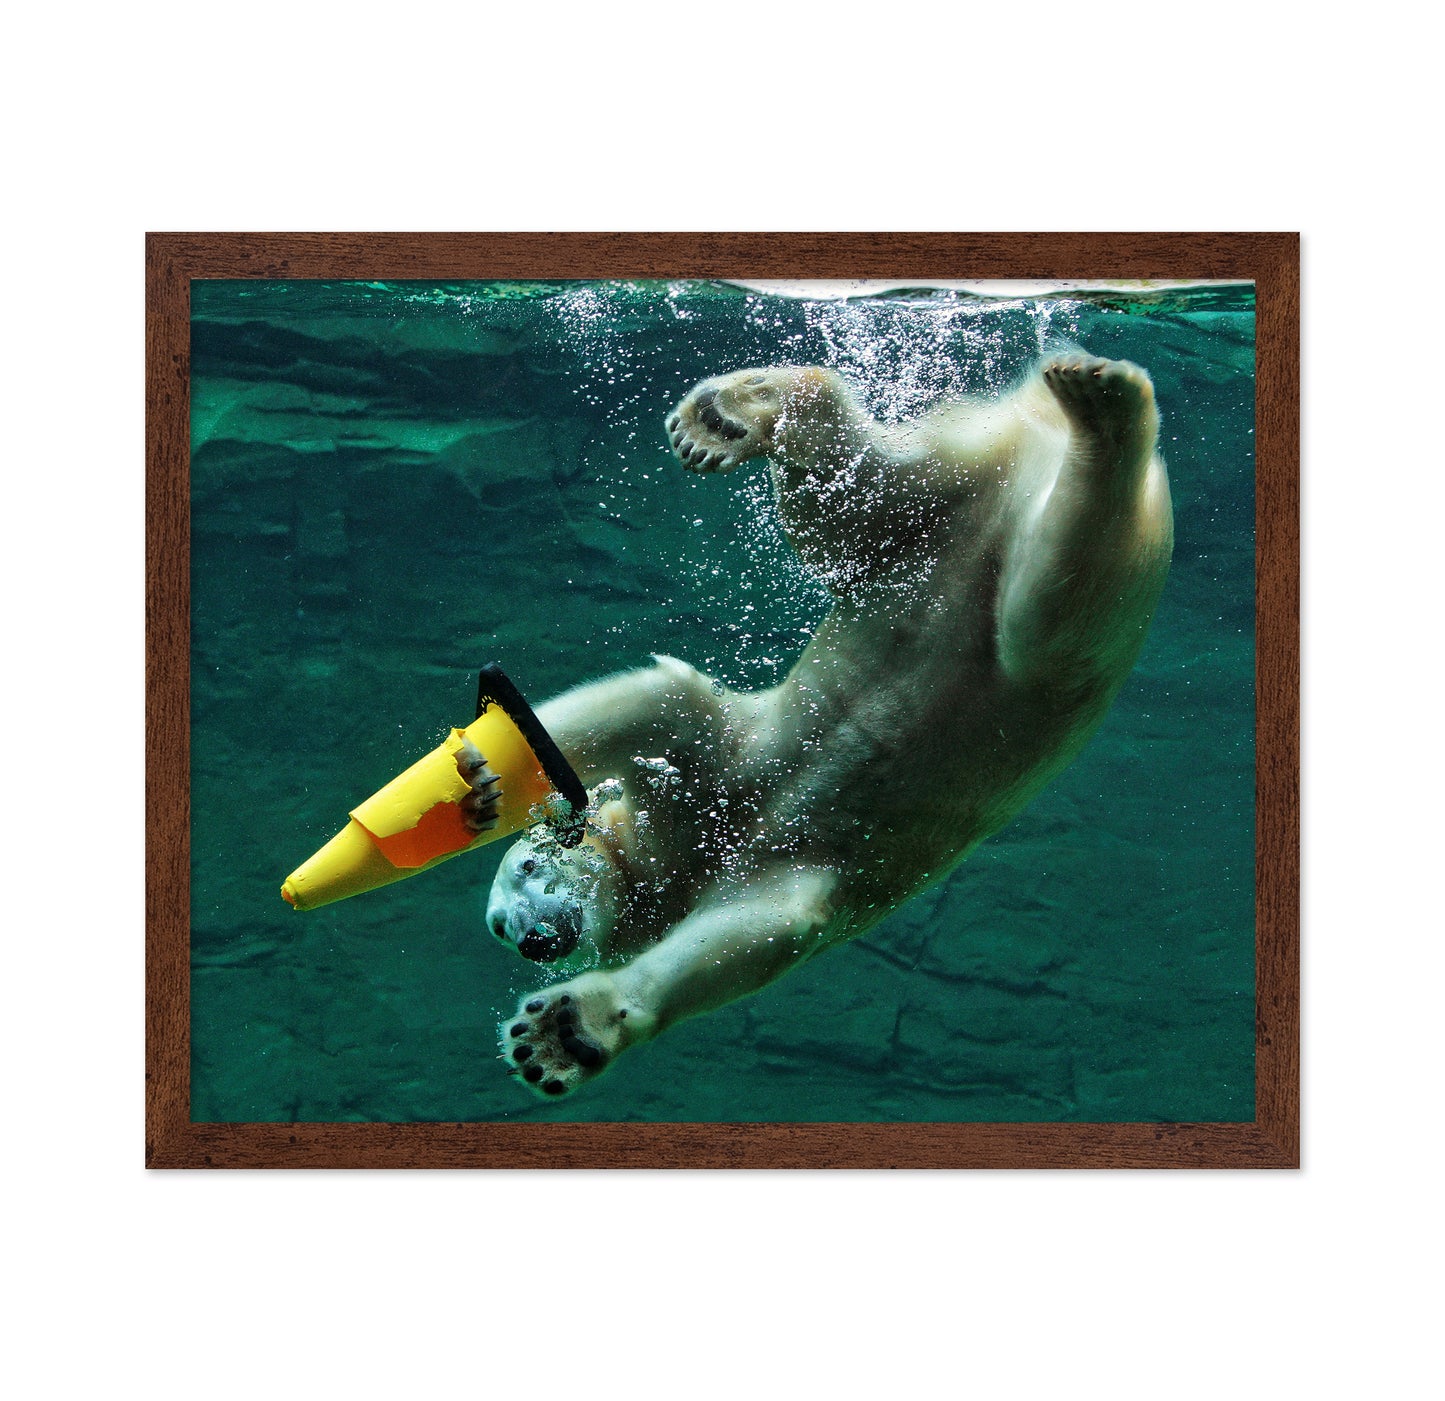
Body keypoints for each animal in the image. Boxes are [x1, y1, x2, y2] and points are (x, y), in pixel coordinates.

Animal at [464, 353, 1174, 1097]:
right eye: (502, 931)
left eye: (530, 868)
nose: (527, 936)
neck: (673, 856)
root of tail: (1027, 443)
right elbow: (772, 917)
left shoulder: (705, 767)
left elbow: (662, 705)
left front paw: (564, 1029)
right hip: (931, 513)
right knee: (870, 506)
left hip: (980, 545)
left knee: (1046, 614)